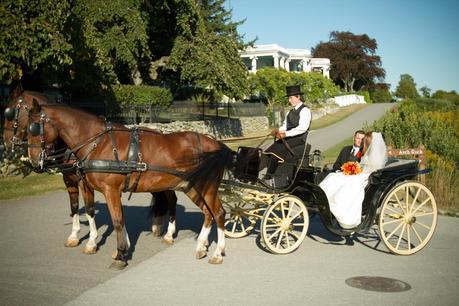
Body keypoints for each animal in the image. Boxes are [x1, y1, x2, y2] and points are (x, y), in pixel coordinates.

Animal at [2, 92, 178, 255]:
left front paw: (92, 242)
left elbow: (90, 209)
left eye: (11, 113)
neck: (94, 142)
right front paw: (74, 237)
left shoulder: (84, 182)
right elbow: (74, 207)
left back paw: (169, 234)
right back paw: (157, 226)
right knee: (161, 197)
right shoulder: (69, 180)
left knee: (171, 199)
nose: (6, 143)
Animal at [26, 100, 234, 268]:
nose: (34, 162)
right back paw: (201, 246)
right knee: (207, 212)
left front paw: (120, 256)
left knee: (218, 213)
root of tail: (217, 145)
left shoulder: (110, 190)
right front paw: (121, 249)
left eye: (34, 128)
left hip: (206, 188)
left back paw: (217, 253)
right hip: (192, 188)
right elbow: (115, 218)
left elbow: (117, 221)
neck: (98, 142)